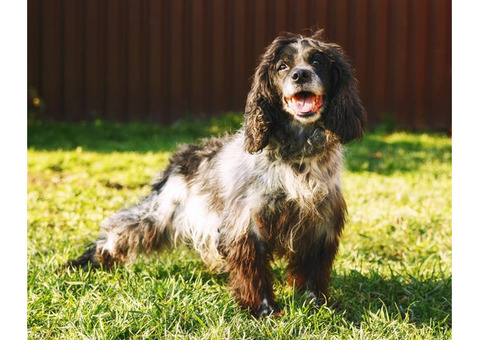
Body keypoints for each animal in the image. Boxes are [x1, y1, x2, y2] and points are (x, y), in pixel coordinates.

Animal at [67, 30, 366, 318]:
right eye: (283, 66)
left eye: (317, 61)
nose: (300, 74)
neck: (297, 152)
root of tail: (184, 154)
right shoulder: (247, 225)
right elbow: (254, 274)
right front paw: (263, 311)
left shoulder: (320, 223)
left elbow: (312, 274)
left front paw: (316, 306)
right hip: (158, 214)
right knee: (117, 230)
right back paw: (84, 262)